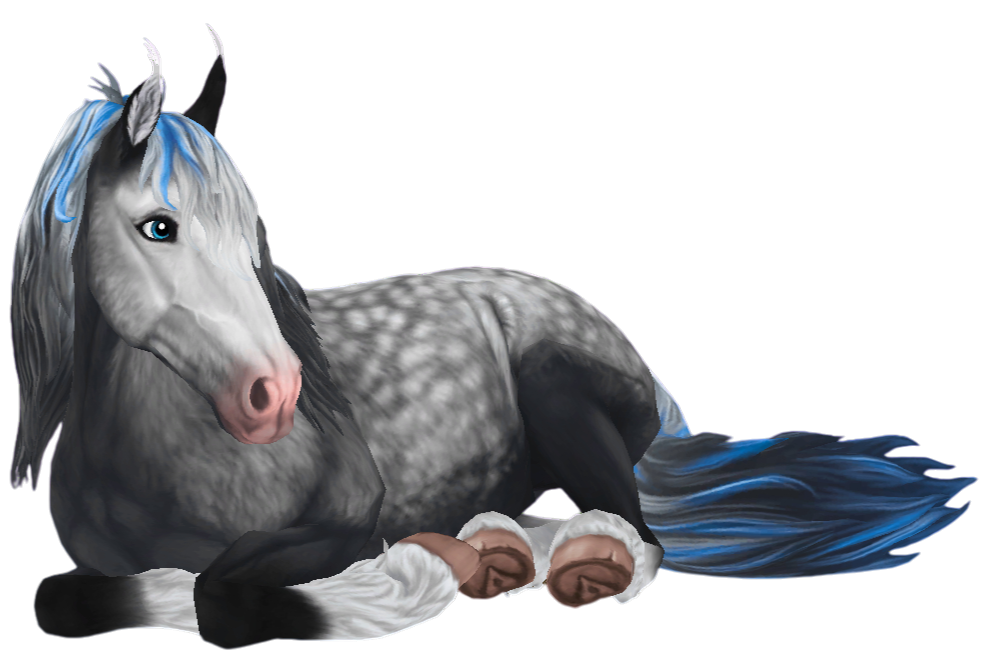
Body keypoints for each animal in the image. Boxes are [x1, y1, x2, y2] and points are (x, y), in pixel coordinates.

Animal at [11, 25, 975, 648]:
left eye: (255, 239)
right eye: (159, 227)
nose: (275, 397)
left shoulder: (346, 517)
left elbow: (222, 599)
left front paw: (399, 582)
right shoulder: (94, 565)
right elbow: (73, 599)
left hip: (558, 391)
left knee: (634, 531)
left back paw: (544, 562)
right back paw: (493, 551)